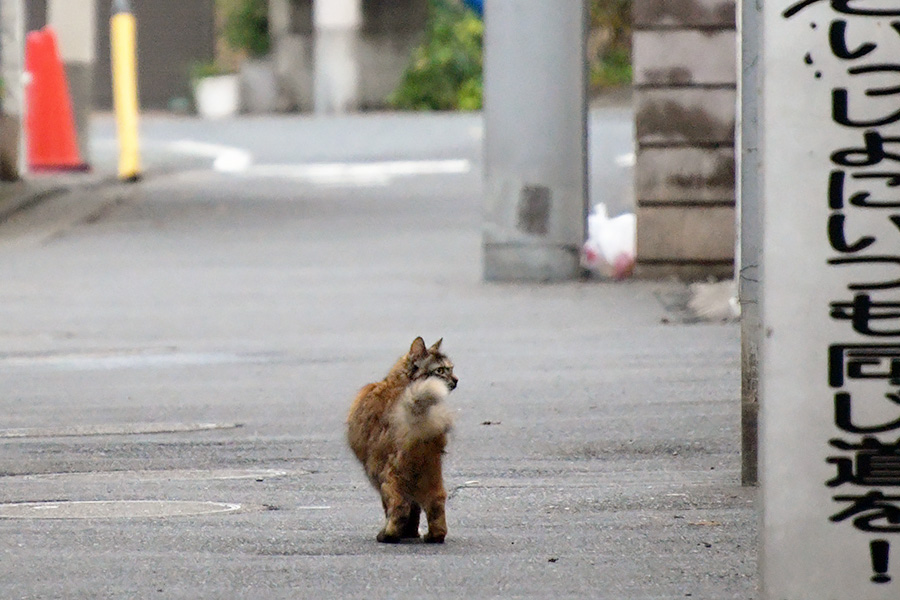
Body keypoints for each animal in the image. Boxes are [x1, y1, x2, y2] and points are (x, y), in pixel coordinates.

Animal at [344, 338, 458, 544]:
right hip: (430, 471)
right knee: (436, 501)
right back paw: (433, 536)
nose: (456, 380)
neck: (400, 383)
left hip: (383, 471)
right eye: (440, 370)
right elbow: (416, 510)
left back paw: (387, 535)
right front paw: (411, 533)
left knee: (398, 504)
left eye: (450, 368)